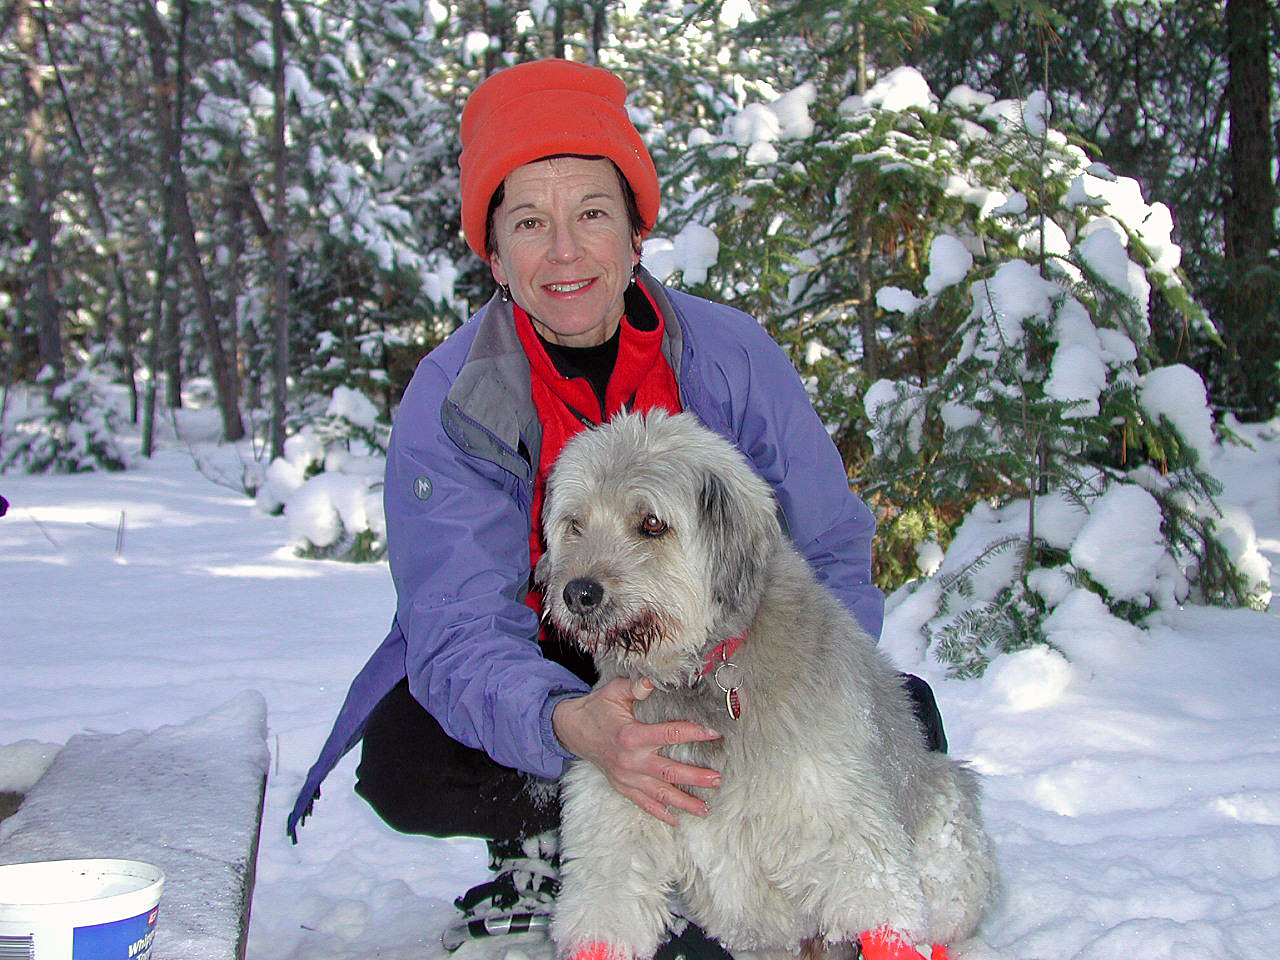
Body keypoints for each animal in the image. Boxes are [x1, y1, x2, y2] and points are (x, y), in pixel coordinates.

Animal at [537, 411, 995, 960]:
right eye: (575, 523)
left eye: (651, 523)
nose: (577, 593)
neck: (704, 671)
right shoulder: (618, 806)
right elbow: (607, 907)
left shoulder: (832, 812)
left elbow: (879, 908)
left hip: (947, 815)